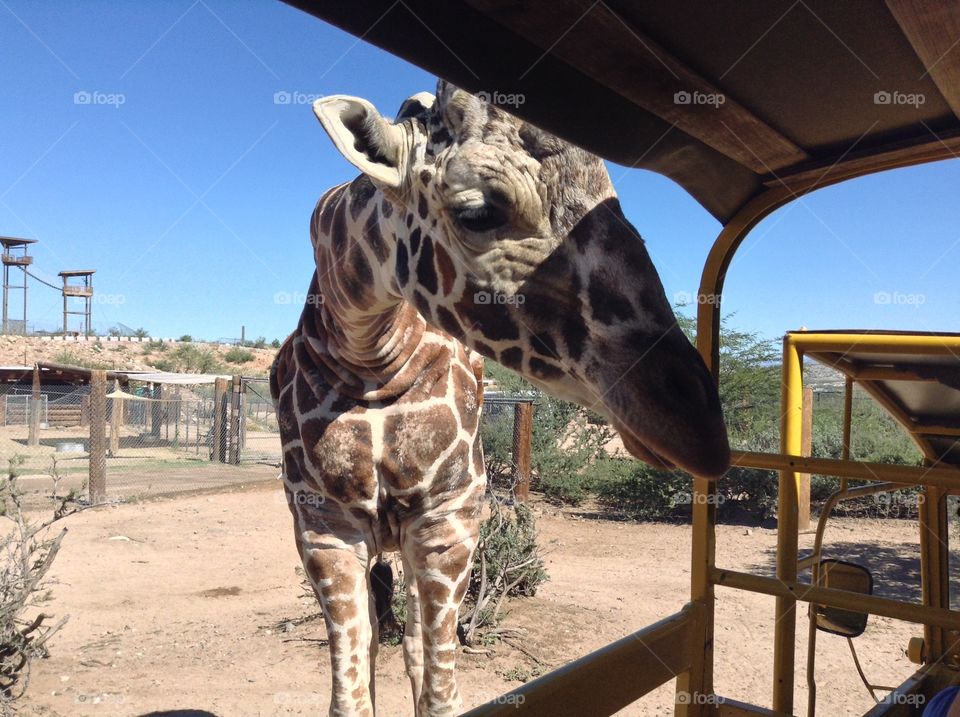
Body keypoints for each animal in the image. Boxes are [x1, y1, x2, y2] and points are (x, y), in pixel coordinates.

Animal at [270, 80, 730, 717]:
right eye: (478, 211)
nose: (699, 426)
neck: (368, 353)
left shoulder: (449, 521)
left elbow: (439, 690)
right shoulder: (323, 526)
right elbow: (350, 697)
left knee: (413, 642)